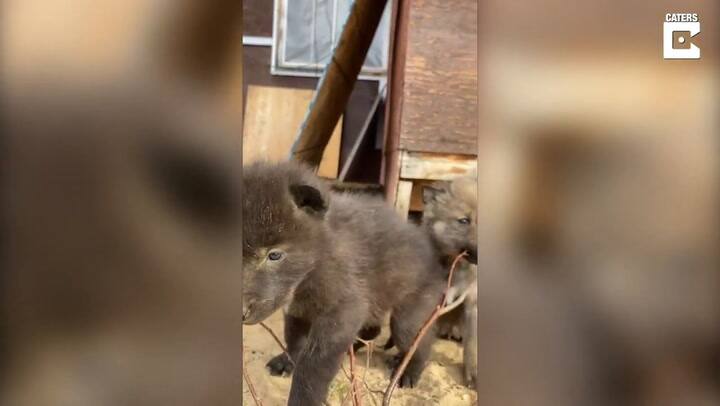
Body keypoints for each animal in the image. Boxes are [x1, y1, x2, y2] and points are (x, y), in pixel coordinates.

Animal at [242, 161, 446, 405]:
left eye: (274, 255)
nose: (240, 312)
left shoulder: (342, 311)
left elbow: (312, 368)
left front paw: (303, 398)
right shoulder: (298, 312)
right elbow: (294, 343)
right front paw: (287, 361)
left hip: (410, 312)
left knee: (418, 341)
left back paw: (408, 371)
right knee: (373, 329)